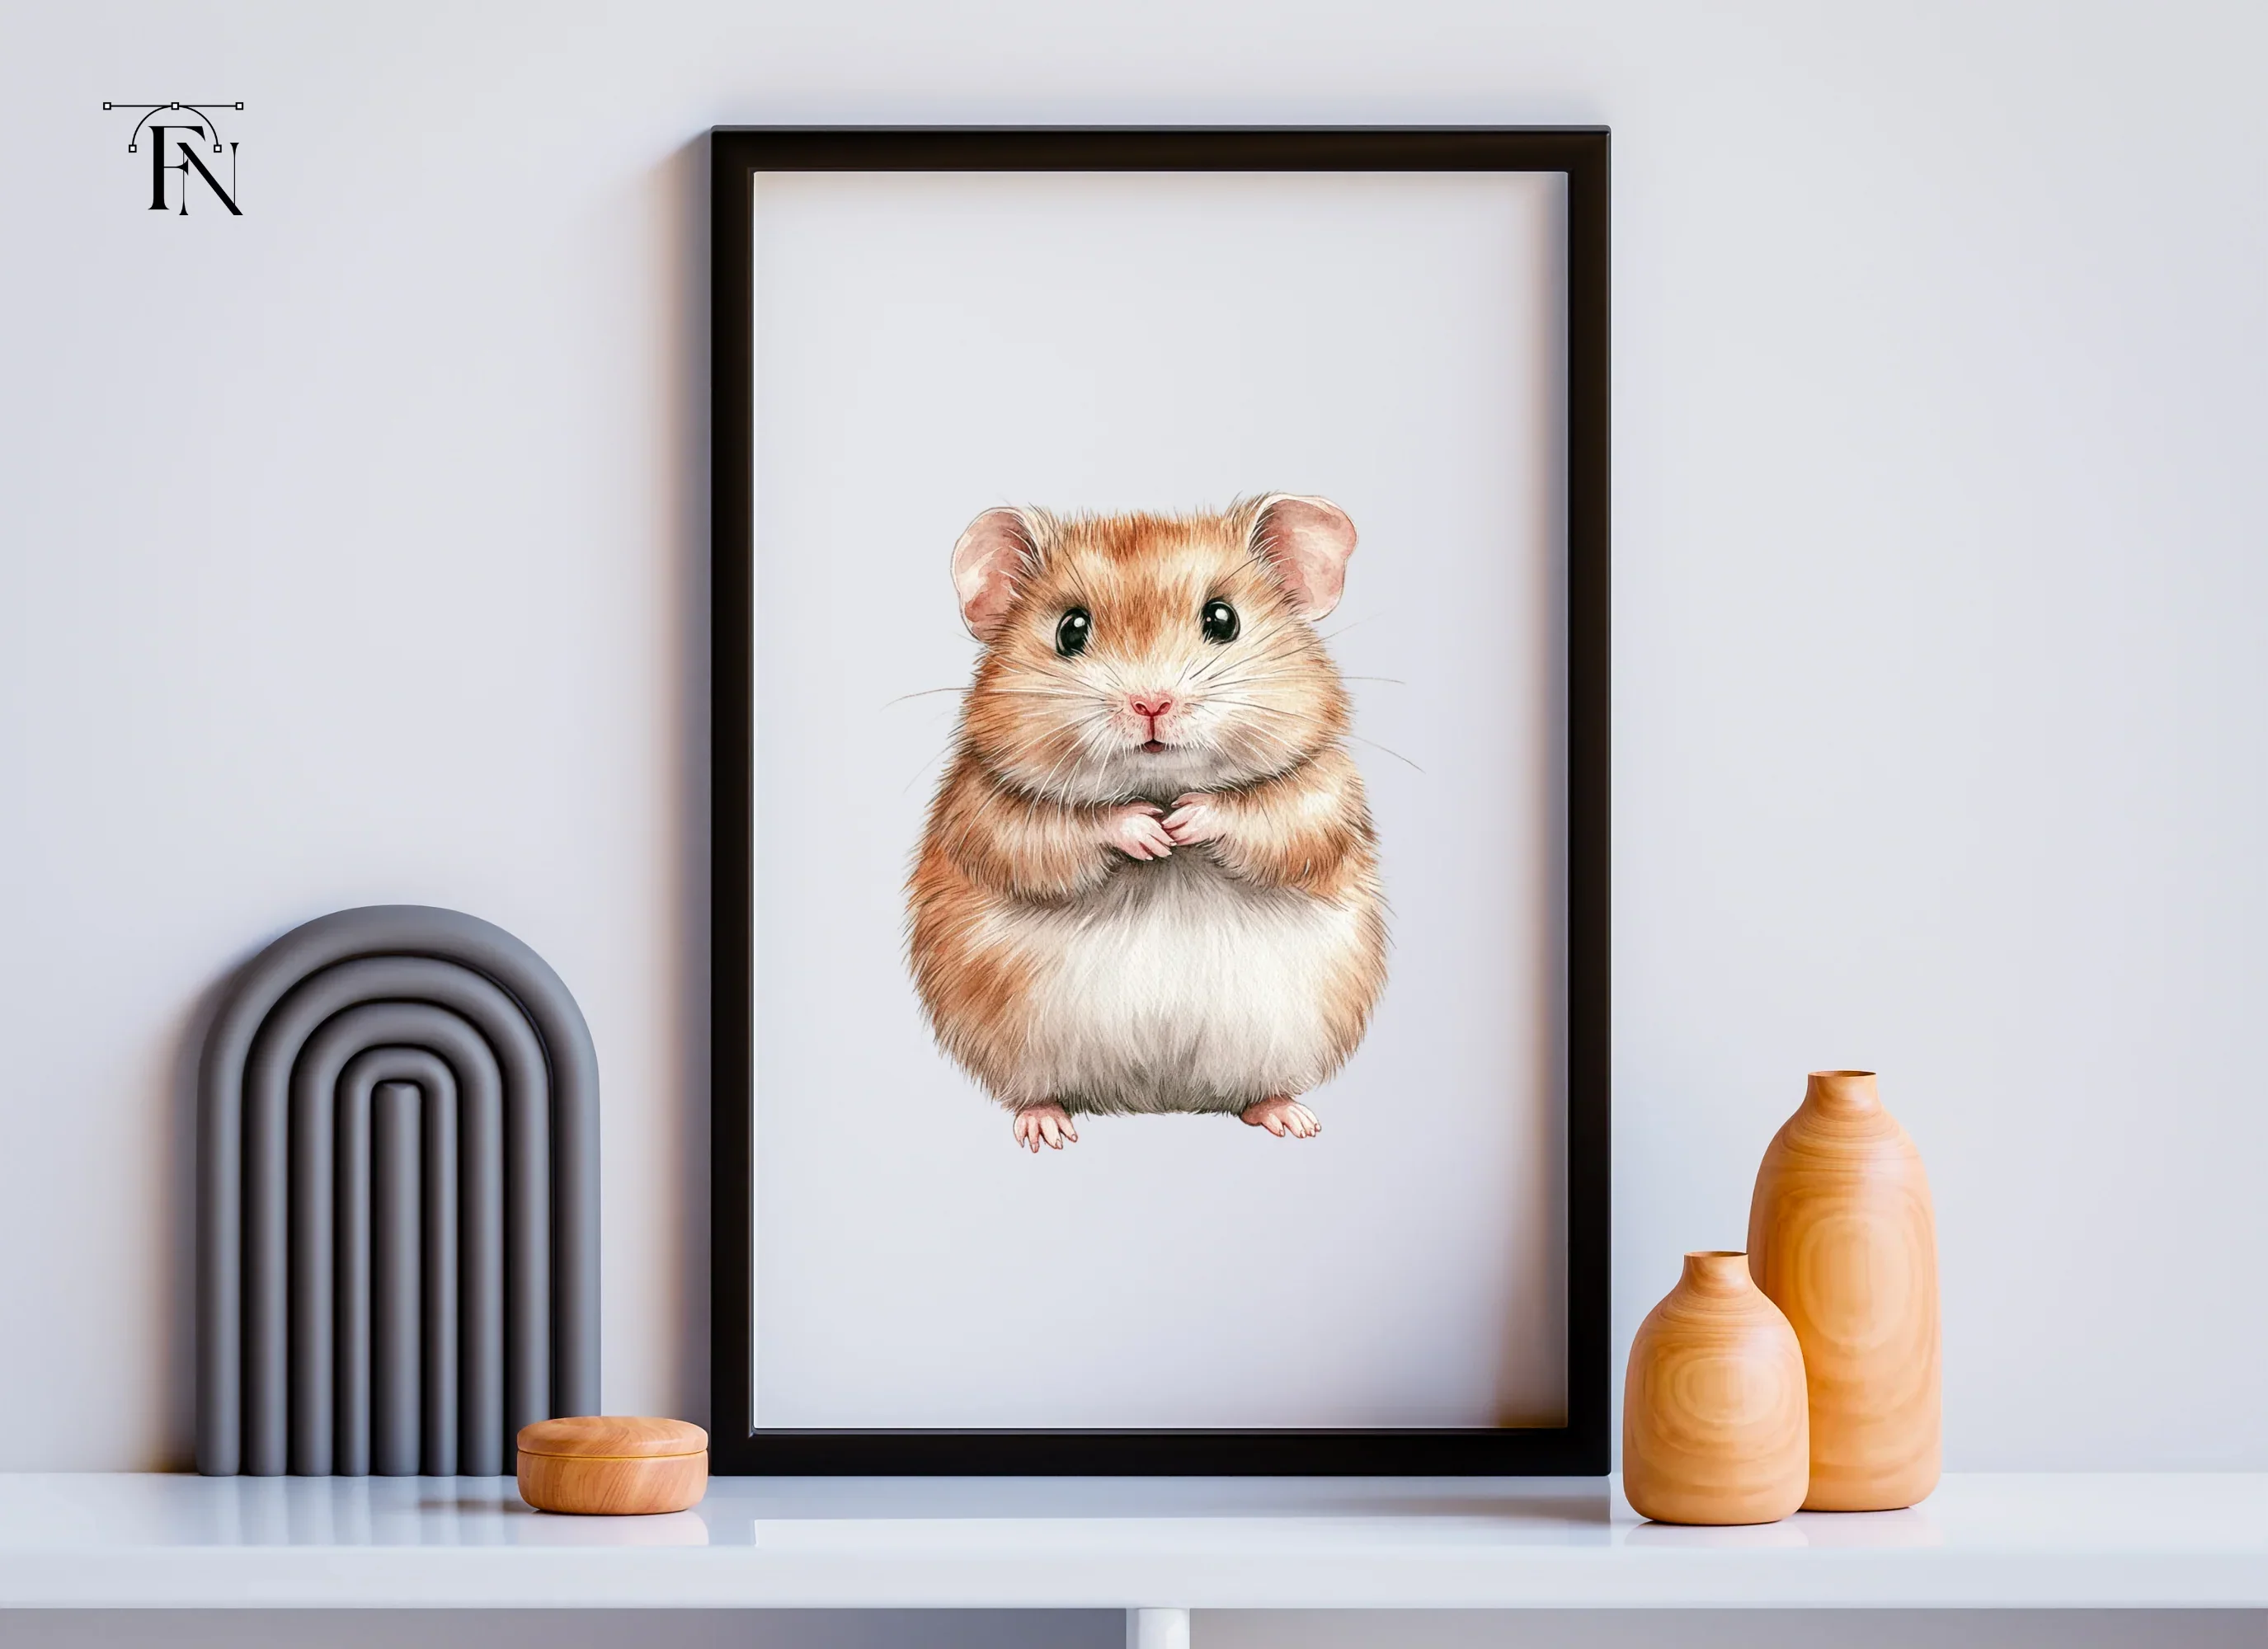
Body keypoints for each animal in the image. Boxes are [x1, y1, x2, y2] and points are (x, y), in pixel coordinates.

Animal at [906, 495, 1388, 1151]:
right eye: (1070, 630)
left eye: (1223, 619)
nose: (1151, 704)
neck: (1157, 785)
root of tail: (1156, 1103)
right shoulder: (986, 811)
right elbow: (1058, 832)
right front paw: (1150, 833)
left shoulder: (1322, 796)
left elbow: (1267, 818)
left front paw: (1184, 823)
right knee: (1036, 1092)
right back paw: (1046, 1130)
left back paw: (1293, 1119)